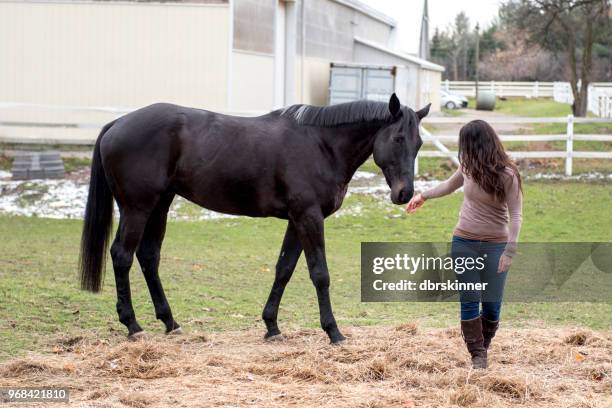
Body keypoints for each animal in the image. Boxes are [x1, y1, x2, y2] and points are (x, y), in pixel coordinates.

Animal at [79, 94, 428, 342]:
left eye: (419, 143)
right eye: (398, 138)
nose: (405, 194)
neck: (321, 145)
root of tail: (117, 124)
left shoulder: (297, 220)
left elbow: (284, 269)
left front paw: (271, 326)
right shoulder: (309, 217)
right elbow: (320, 274)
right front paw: (333, 331)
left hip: (159, 206)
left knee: (149, 256)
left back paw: (170, 322)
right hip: (138, 208)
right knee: (122, 255)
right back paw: (132, 324)